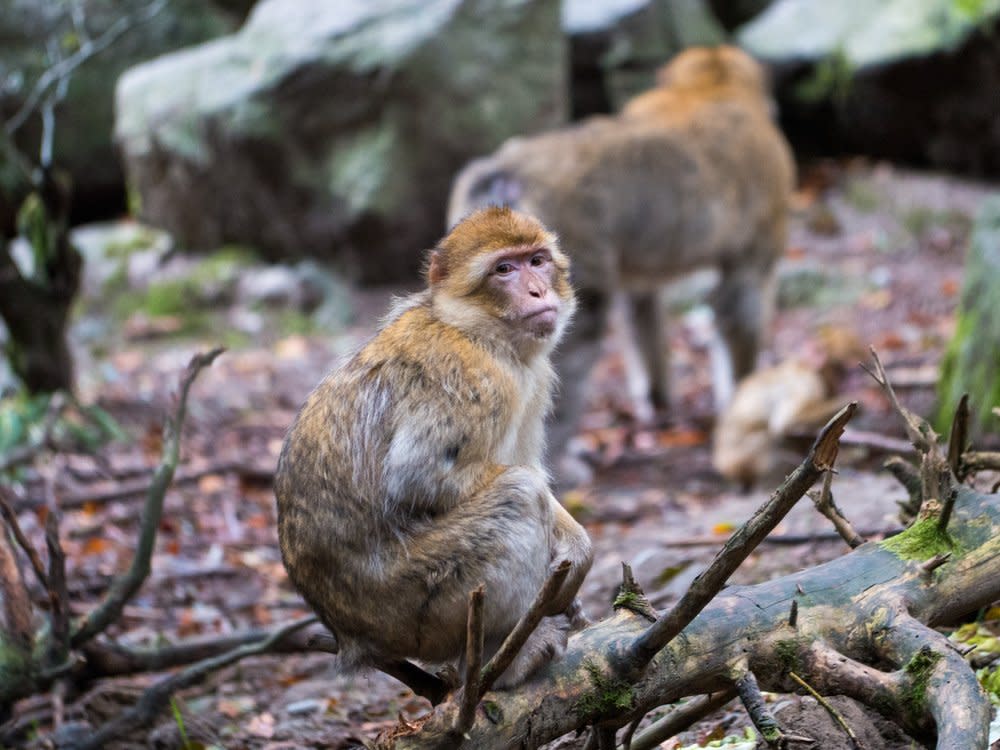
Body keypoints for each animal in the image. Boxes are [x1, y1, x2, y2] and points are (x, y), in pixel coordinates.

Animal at [274, 207, 592, 692]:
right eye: (504, 269)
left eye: (536, 261)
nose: (537, 290)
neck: (476, 332)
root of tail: (350, 638)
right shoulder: (475, 378)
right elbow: (419, 477)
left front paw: (576, 550)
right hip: (411, 605)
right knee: (517, 496)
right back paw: (499, 664)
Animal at [450, 47, 792, 484]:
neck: (709, 88)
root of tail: (506, 172)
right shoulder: (755, 249)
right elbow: (741, 311)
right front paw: (744, 406)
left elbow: (642, 305)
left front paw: (659, 399)